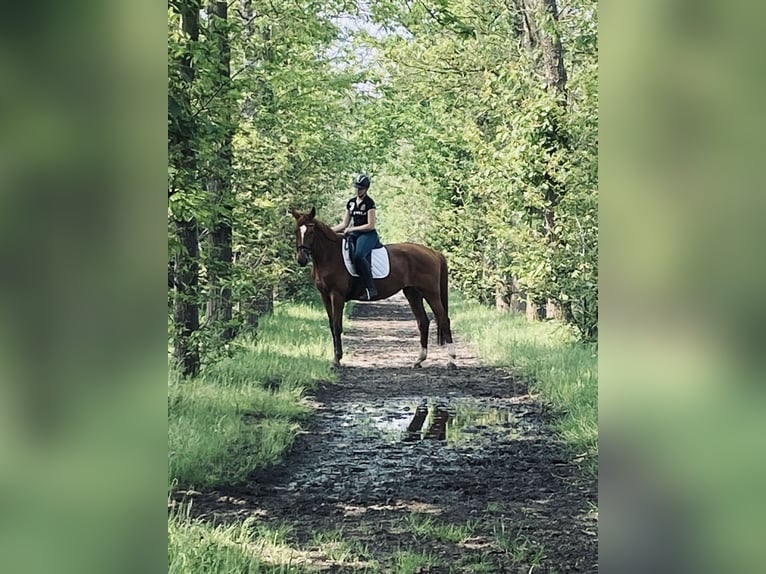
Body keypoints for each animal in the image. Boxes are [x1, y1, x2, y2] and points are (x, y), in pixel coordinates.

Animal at [290, 209, 456, 372]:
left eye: (311, 230)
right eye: (296, 230)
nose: (301, 259)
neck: (330, 256)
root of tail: (433, 252)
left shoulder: (337, 296)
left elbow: (337, 326)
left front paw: (337, 360)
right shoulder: (325, 295)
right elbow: (332, 326)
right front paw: (336, 358)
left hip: (430, 293)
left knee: (443, 319)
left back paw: (452, 361)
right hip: (412, 293)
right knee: (423, 322)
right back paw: (419, 360)